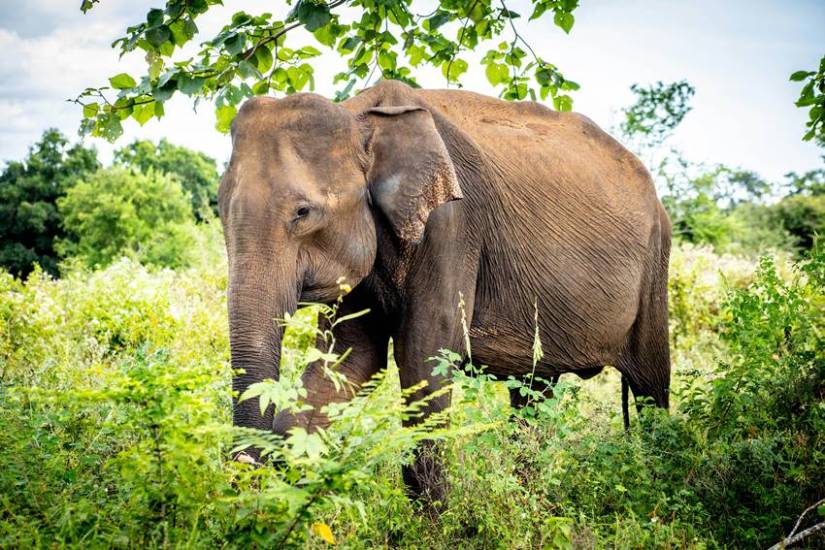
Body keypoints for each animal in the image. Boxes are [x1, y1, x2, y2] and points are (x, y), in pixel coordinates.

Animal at [217, 80, 668, 506]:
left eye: (302, 213)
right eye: (220, 209)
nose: (244, 469)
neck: (360, 115)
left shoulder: (453, 224)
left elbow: (425, 354)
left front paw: (434, 523)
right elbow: (347, 359)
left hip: (655, 266)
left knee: (651, 385)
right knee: (533, 394)